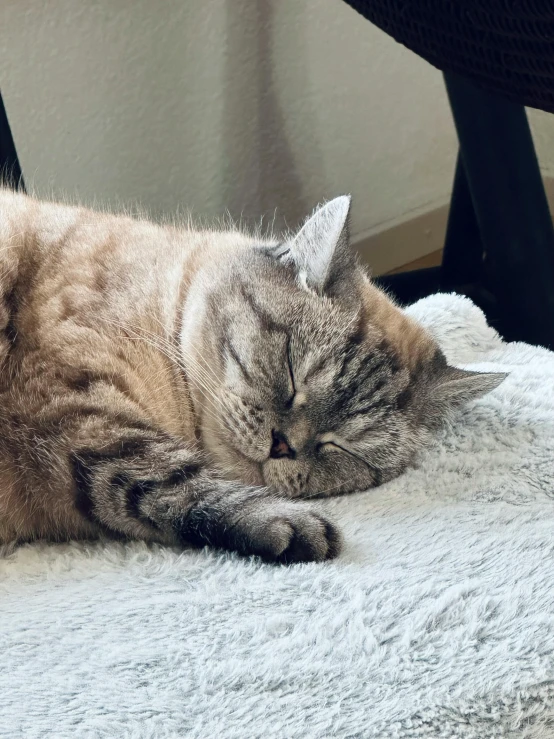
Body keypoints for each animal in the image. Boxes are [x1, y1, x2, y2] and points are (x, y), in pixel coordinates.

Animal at [0, 191, 502, 560]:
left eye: (342, 446)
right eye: (291, 373)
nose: (284, 445)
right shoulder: (75, 414)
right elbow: (176, 482)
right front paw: (291, 527)